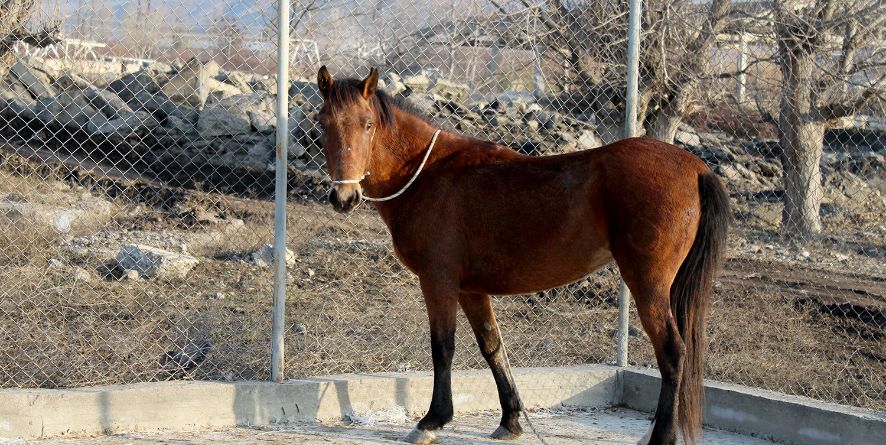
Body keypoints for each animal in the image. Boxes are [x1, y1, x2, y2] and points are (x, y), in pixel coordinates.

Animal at [316, 66, 732, 444]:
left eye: (368, 124)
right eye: (324, 123)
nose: (344, 197)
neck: (427, 174)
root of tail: (696, 168)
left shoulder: (438, 281)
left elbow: (443, 348)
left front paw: (432, 421)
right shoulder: (471, 290)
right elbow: (492, 347)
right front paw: (511, 419)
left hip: (648, 283)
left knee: (672, 352)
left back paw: (661, 436)